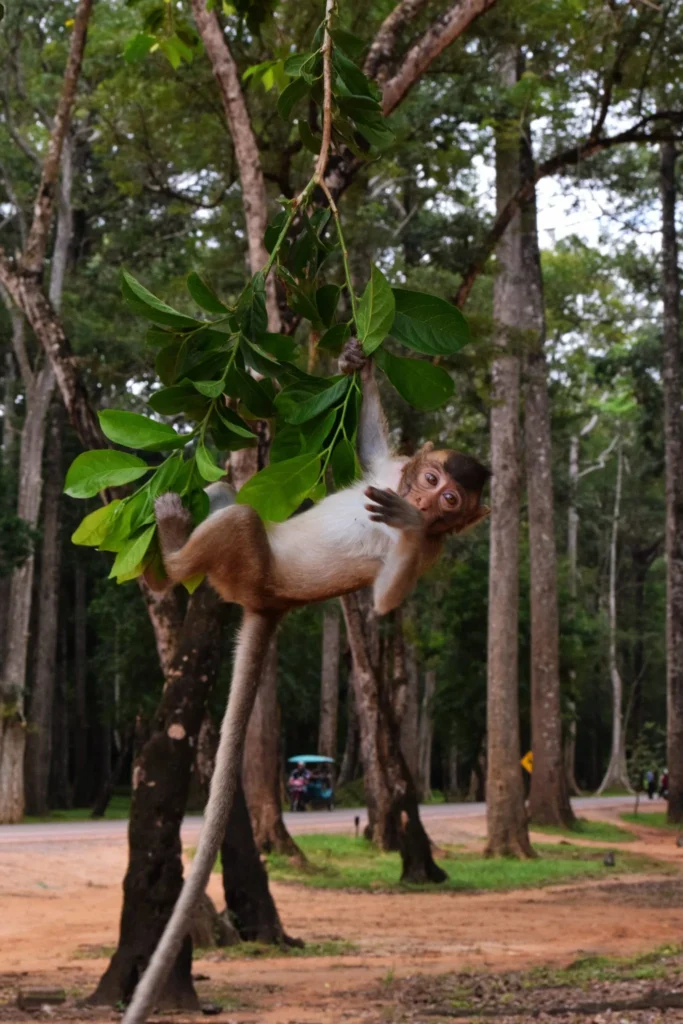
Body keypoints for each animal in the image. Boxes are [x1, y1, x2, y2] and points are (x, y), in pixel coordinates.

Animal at [122, 340, 490, 1024]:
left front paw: (407, 524)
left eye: (452, 504)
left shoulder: (428, 556)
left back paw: (168, 557)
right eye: (433, 481)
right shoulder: (390, 466)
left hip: (248, 569)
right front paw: (358, 360)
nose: (429, 504)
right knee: (226, 490)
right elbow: (374, 450)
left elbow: (385, 603)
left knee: (240, 521)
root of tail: (271, 604)